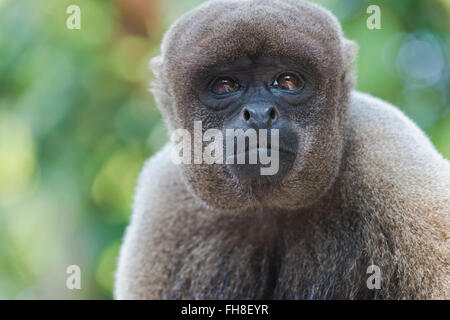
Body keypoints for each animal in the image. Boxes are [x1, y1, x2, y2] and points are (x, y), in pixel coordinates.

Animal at [114, 0, 448, 300]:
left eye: (287, 81)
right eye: (224, 85)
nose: (260, 114)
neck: (271, 206)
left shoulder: (391, 156)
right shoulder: (165, 203)